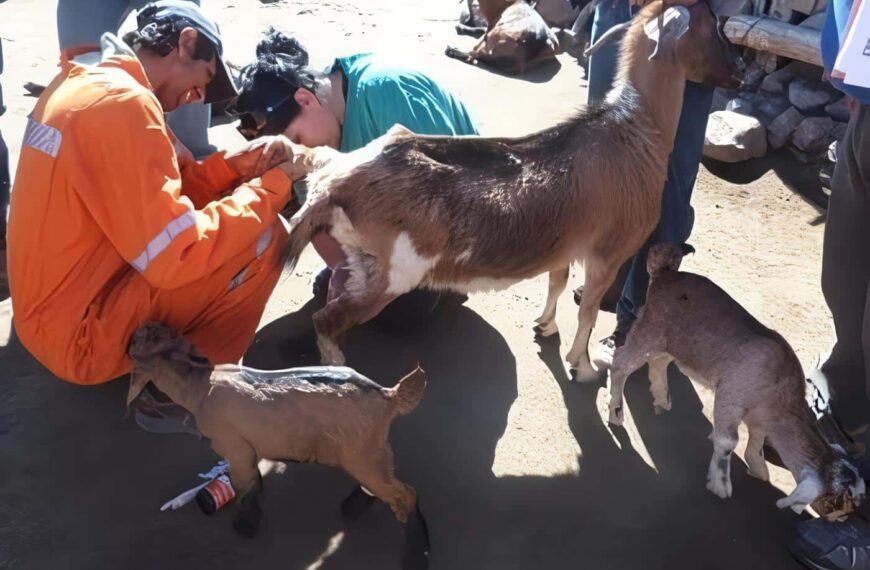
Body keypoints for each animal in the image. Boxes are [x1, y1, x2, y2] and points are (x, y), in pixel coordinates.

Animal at [126, 322, 430, 560]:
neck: (198, 383)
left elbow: (246, 486)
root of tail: (389, 396)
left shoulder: (233, 446)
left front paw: (245, 527)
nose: (132, 336)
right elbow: (255, 482)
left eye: (140, 341)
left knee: (404, 495)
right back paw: (352, 508)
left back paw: (417, 553)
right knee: (382, 484)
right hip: (366, 451)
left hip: (360, 452)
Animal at [278, 1, 744, 382]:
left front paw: (545, 324)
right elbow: (589, 311)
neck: (634, 131)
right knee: (327, 321)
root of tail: (330, 182)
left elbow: (557, 281)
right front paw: (584, 367)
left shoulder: (566, 242)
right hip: (392, 275)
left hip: (361, 264)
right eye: (712, 25)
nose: (738, 72)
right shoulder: (608, 252)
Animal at [608, 242, 868, 516]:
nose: (843, 519)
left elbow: (757, 438)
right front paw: (720, 485)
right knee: (621, 363)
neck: (779, 394)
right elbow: (728, 441)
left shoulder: (758, 415)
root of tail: (664, 272)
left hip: (673, 342)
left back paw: (661, 398)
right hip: (650, 329)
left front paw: (757, 467)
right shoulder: (731, 393)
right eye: (839, 501)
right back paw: (615, 412)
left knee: (658, 362)